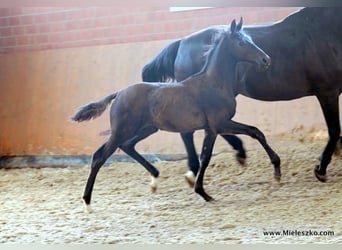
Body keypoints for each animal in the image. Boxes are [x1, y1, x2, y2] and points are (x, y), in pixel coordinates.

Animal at [71, 18, 276, 212]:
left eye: (250, 39)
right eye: (241, 43)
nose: (266, 60)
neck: (213, 83)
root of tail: (119, 93)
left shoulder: (211, 129)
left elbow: (206, 157)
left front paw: (203, 193)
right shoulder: (220, 123)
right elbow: (255, 132)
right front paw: (277, 170)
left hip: (147, 129)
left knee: (127, 146)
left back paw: (155, 179)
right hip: (122, 130)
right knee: (100, 156)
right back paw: (87, 203)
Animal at [142, 7, 342, 184]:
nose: (266, 60)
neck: (329, 31)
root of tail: (181, 43)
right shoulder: (327, 92)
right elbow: (334, 131)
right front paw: (321, 169)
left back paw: (238, 153)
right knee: (189, 131)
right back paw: (194, 170)